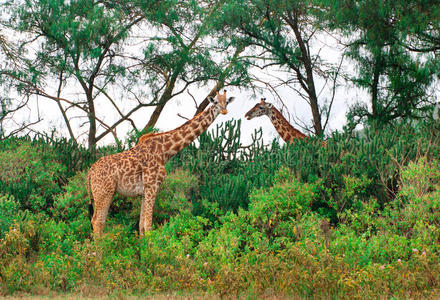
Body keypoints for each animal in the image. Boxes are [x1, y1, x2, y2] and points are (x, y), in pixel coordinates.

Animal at [87, 90, 235, 236]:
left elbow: (141, 225)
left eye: (227, 102)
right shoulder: (152, 186)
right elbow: (148, 225)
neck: (165, 151)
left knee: (99, 221)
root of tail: (90, 171)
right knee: (97, 221)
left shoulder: (144, 191)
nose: (224, 111)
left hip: (107, 192)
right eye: (215, 102)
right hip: (103, 192)